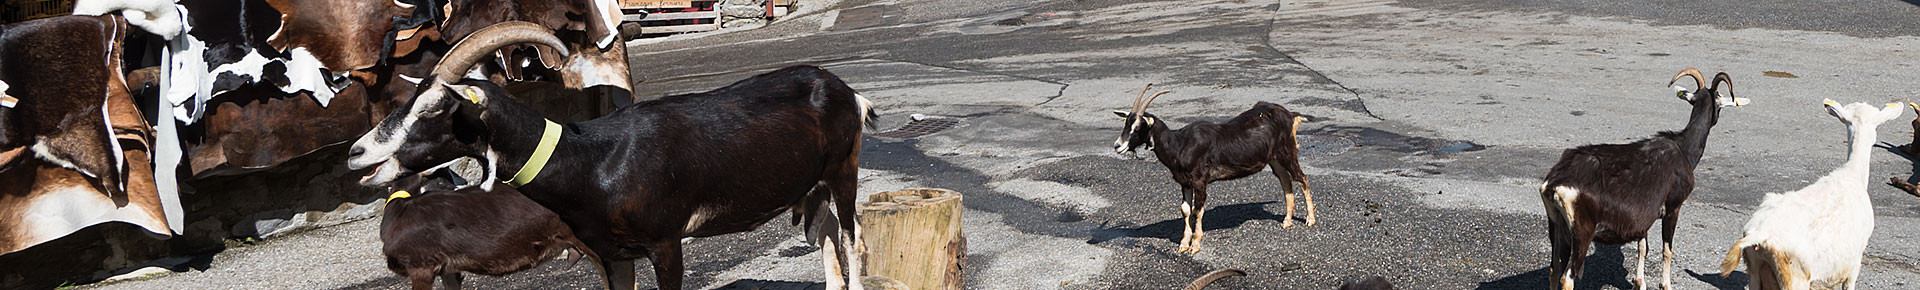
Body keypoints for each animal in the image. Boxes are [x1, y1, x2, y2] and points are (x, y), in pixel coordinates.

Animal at [1113, 82, 1320, 253]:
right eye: (1126, 123)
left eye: (1138, 127)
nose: (1117, 146)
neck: (1180, 144)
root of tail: (1290, 115)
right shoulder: (1184, 182)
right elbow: (1185, 209)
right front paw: (1183, 244)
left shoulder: (1200, 181)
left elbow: (1197, 210)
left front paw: (1195, 244)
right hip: (1274, 158)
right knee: (1286, 181)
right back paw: (1287, 221)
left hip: (1287, 151)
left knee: (1301, 178)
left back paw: (1310, 219)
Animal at [1536, 68, 1751, 290]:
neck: (1682, 148)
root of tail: (1554, 184)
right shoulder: (1673, 206)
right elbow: (1667, 249)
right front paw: (1665, 284)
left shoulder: (1644, 215)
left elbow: (1643, 247)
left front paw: (1639, 281)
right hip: (1582, 232)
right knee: (1567, 277)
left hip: (1556, 225)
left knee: (1553, 270)